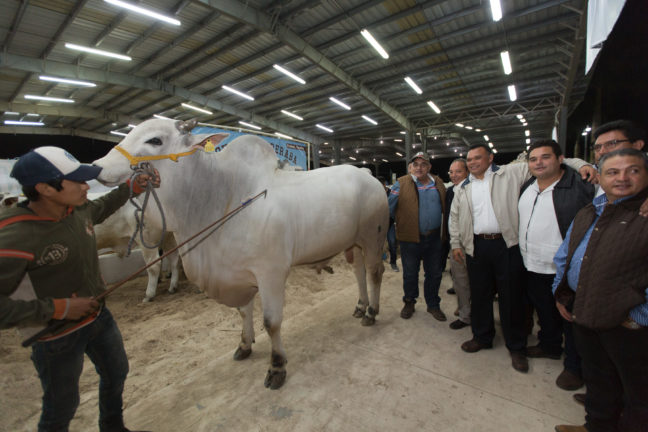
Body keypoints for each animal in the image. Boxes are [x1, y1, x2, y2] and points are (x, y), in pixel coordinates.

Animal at [93, 117, 388, 388]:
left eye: (155, 140)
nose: (97, 166)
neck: (222, 198)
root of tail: (367, 174)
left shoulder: (270, 273)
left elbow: (271, 322)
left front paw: (277, 366)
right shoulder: (238, 274)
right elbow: (244, 312)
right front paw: (245, 345)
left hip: (373, 237)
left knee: (375, 272)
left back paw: (371, 312)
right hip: (354, 243)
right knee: (359, 273)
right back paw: (360, 306)